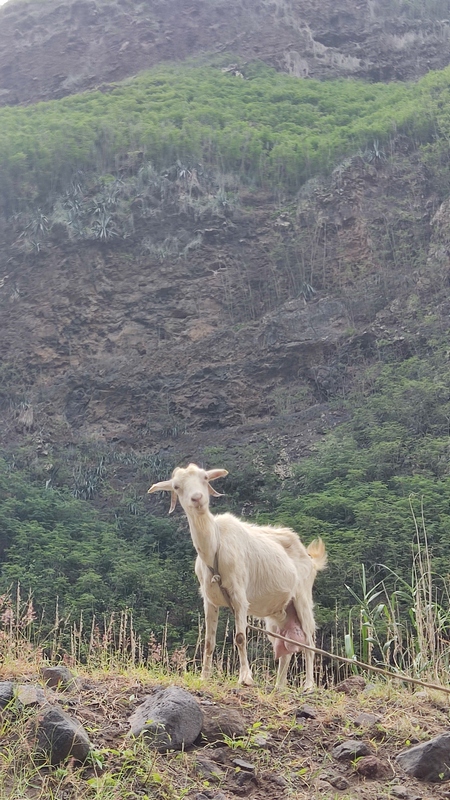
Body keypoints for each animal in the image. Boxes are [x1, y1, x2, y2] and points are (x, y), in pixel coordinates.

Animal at [148, 462, 326, 689]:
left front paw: (246, 678)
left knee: (309, 642)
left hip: (302, 597)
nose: (197, 498)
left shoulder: (239, 596)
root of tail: (310, 558)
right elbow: (208, 642)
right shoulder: (209, 600)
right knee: (286, 648)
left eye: (205, 478)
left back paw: (309, 685)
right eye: (177, 486)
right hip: (279, 614)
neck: (215, 547)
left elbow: (240, 637)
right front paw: (204, 676)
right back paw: (279, 686)